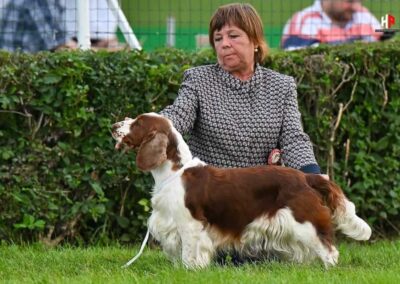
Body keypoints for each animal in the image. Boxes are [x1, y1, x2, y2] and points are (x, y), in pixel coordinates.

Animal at [111, 112, 370, 268]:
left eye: (137, 123)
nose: (113, 125)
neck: (174, 172)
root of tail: (307, 177)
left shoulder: (189, 224)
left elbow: (189, 253)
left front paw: (189, 270)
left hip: (303, 222)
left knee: (329, 251)